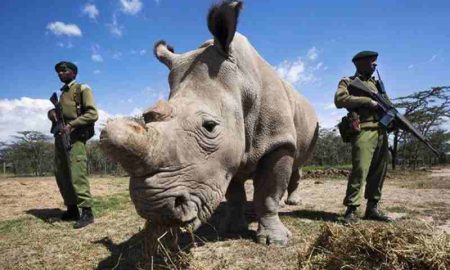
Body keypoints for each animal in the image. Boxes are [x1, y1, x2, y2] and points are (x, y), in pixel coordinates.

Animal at [101, 0, 320, 246]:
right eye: (148, 119)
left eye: (209, 126)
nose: (155, 210)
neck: (242, 84)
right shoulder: (226, 155)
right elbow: (234, 194)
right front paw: (232, 229)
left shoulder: (278, 141)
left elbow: (268, 193)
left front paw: (275, 242)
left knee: (297, 162)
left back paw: (290, 203)